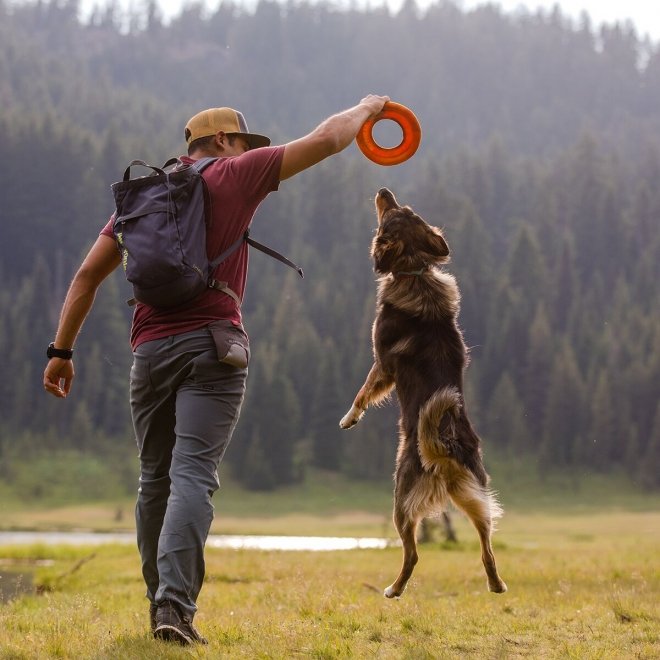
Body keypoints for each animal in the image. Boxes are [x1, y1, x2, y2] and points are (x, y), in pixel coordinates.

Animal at [340, 187, 506, 600]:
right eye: (408, 209)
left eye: (391, 215)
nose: (384, 191)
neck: (415, 271)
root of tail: (443, 446)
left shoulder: (382, 363)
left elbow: (363, 392)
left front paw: (349, 419)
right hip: (475, 493)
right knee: (487, 547)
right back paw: (496, 584)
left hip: (401, 499)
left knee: (413, 554)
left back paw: (393, 590)